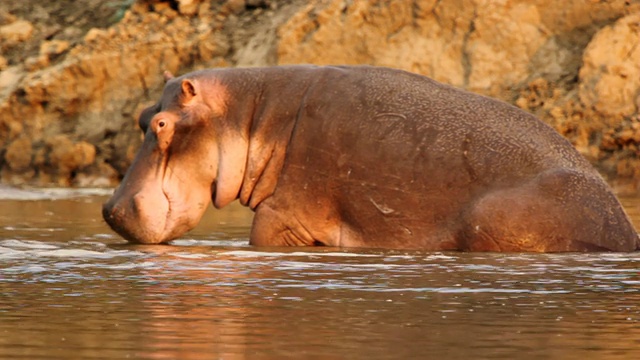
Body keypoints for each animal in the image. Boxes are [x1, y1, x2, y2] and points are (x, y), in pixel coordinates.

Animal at [102, 66, 636, 252]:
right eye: (142, 115)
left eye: (162, 124)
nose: (110, 209)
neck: (252, 116)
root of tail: (625, 231)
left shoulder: (284, 214)